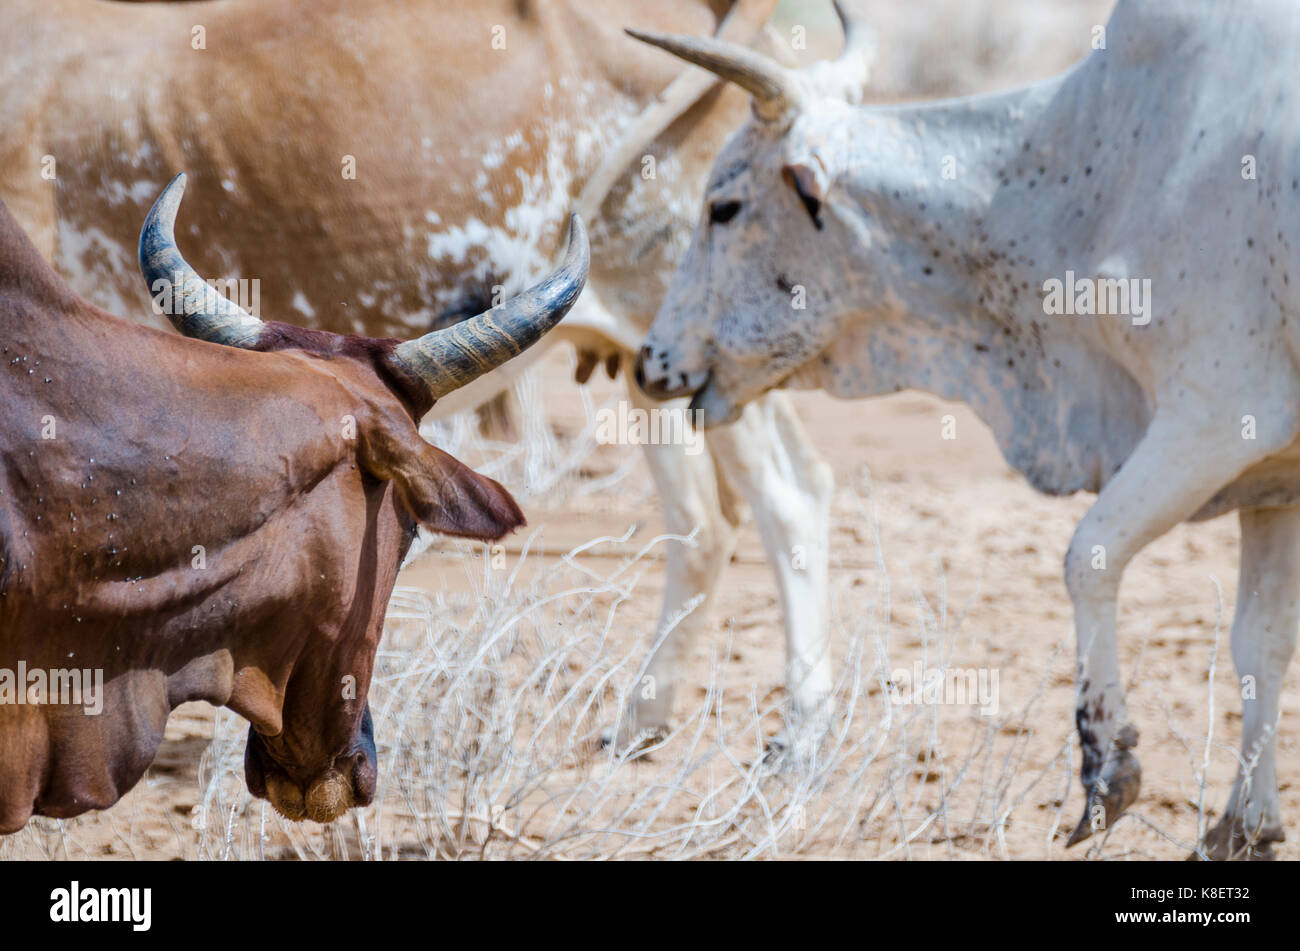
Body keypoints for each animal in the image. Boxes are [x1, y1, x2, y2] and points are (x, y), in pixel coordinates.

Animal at [629, 0, 1300, 857]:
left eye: (724, 206)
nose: (650, 361)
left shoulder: (1218, 415)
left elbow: (1088, 557)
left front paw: (1107, 770)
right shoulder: (1273, 477)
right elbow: (1262, 638)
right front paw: (1247, 823)